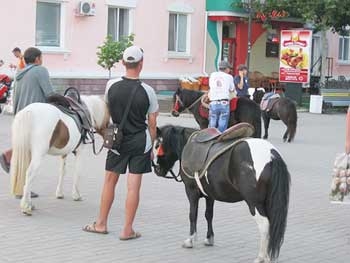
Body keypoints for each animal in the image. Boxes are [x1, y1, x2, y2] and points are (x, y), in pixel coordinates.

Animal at [154, 126, 292, 263]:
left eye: (157, 145)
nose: (157, 169)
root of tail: (271, 156)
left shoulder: (191, 191)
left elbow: (193, 215)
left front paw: (190, 240)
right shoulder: (209, 195)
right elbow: (209, 215)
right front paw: (209, 238)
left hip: (254, 203)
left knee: (264, 225)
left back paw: (261, 257)